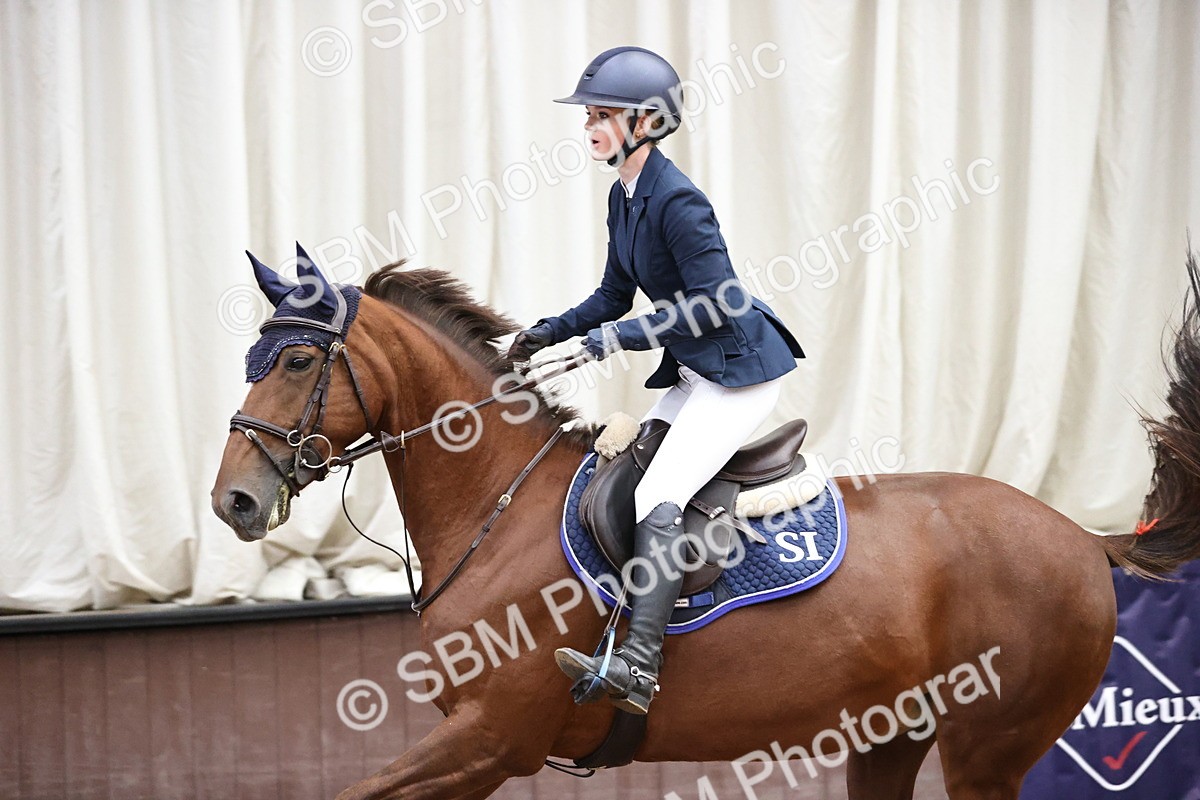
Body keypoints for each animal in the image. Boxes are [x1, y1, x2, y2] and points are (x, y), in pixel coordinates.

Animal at [212, 250, 1200, 800]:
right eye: (253, 355)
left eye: (295, 361)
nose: (235, 502)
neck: (496, 503)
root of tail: (1082, 536)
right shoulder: (475, 747)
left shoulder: (491, 739)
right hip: (891, 735)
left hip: (988, 749)